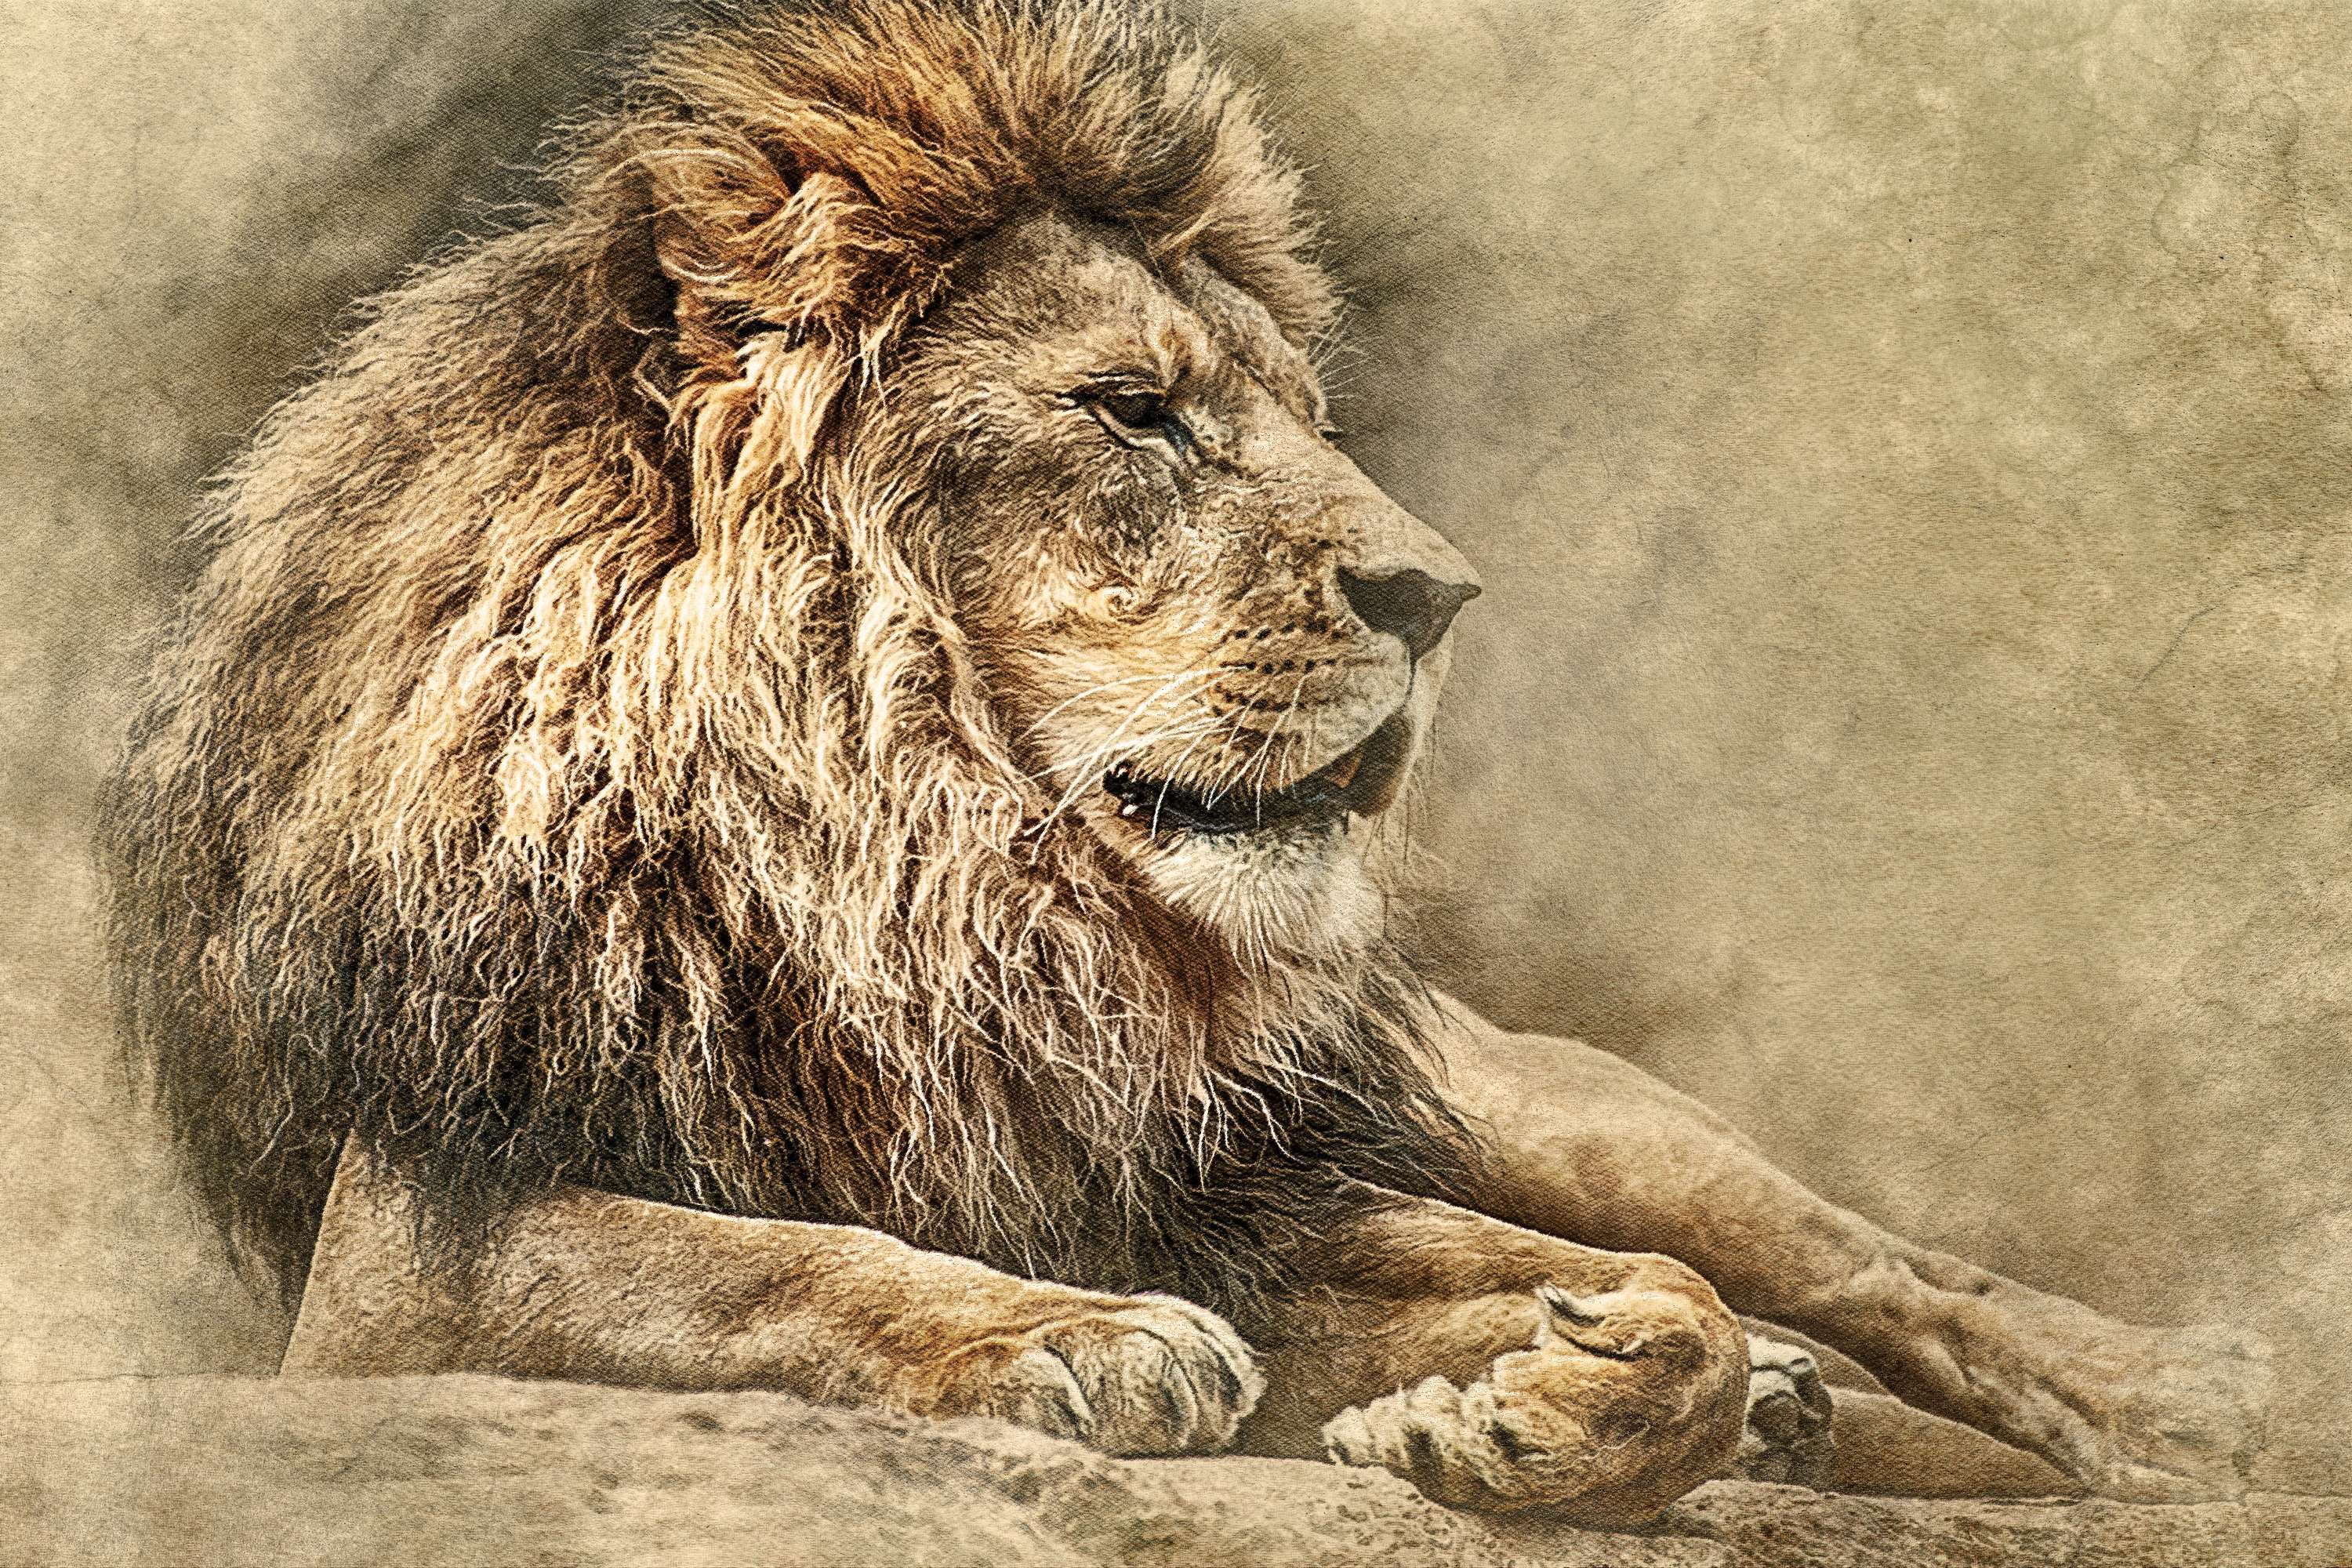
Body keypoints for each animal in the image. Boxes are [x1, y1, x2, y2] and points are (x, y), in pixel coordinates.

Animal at [98, 0, 2267, 1523]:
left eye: (1298, 413)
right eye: (1132, 411)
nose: (1440, 591)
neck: (924, 877)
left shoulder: (1230, 1176)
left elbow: (1672, 1292)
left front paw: (1554, 1397)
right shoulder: (410, 1252)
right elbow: (751, 1265)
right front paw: (1078, 1336)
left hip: (1534, 1094)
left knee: (1875, 1262)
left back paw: (2170, 1392)